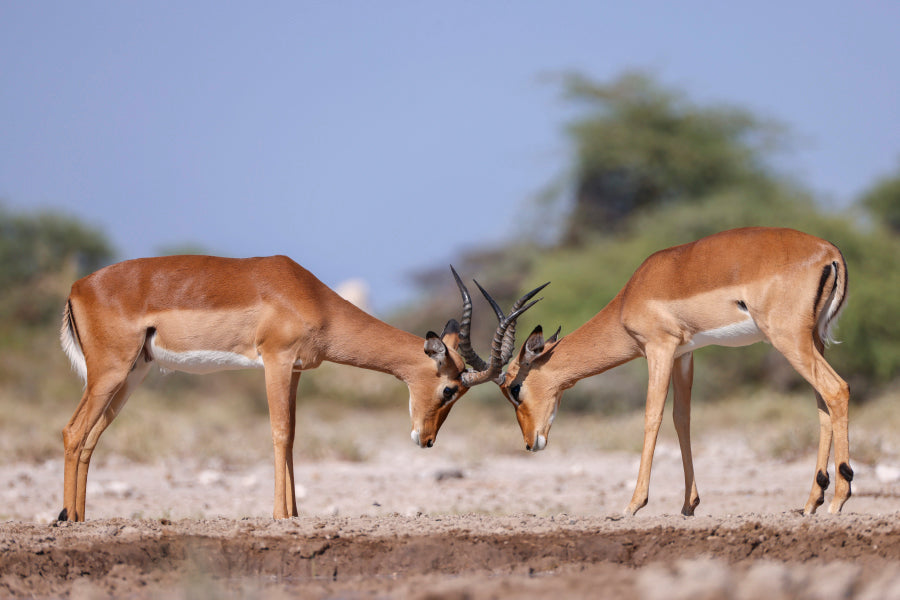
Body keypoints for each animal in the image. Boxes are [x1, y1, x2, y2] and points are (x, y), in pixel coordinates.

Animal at [63, 254, 544, 520]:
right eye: (449, 390)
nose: (425, 440)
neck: (310, 296)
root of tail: (77, 287)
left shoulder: (294, 370)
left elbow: (293, 436)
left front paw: (295, 513)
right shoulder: (274, 362)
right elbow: (278, 433)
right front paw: (279, 515)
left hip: (133, 375)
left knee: (90, 438)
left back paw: (81, 518)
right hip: (110, 372)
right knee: (73, 431)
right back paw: (66, 518)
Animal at [492, 227, 852, 516]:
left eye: (514, 388)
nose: (530, 443)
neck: (632, 295)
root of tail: (830, 252)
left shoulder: (659, 349)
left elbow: (652, 416)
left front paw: (632, 505)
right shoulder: (684, 354)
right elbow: (682, 418)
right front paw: (688, 505)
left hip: (788, 339)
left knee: (837, 389)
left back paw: (838, 499)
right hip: (814, 340)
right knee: (822, 403)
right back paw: (812, 502)